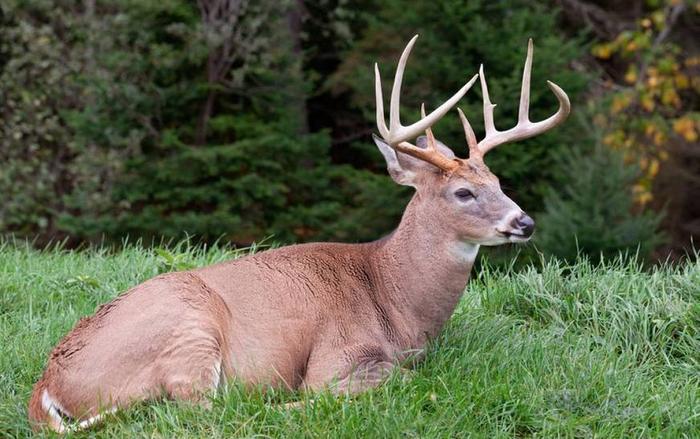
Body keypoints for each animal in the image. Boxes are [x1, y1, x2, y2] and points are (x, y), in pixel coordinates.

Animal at [28, 37, 568, 434]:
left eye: (498, 182)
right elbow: (395, 379)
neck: (395, 302)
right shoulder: (337, 352)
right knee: (204, 414)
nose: (525, 223)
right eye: (462, 192)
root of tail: (46, 388)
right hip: (189, 330)